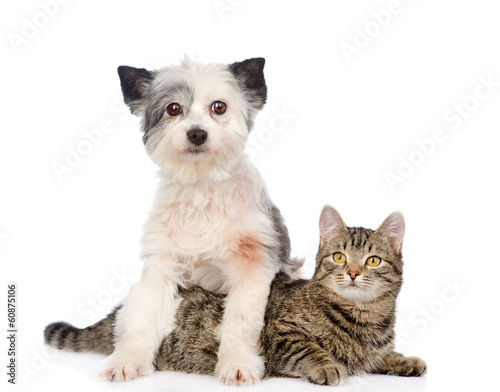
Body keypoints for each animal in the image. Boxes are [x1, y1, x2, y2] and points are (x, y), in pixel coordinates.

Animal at [45, 205, 426, 386]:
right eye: (339, 257)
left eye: (373, 260)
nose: (353, 272)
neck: (364, 317)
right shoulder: (281, 334)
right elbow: (310, 349)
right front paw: (329, 366)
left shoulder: (373, 349)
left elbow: (381, 356)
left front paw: (405, 360)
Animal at [98, 58, 300, 386]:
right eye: (173, 108)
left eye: (219, 107)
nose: (196, 134)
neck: (202, 188)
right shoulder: (160, 267)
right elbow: (142, 318)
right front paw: (126, 360)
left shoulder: (252, 267)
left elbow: (241, 322)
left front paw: (237, 363)